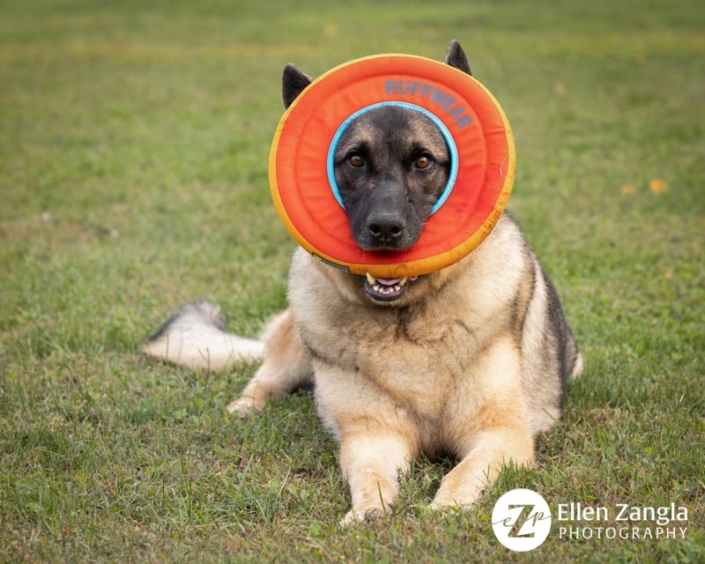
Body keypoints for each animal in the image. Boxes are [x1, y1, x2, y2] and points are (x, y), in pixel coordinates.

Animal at [144, 41, 584, 528]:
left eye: (423, 162)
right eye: (354, 160)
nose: (385, 228)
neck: (405, 324)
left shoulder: (501, 436)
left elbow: (462, 473)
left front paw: (443, 509)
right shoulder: (373, 435)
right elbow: (369, 474)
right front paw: (368, 512)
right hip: (296, 341)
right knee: (266, 376)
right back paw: (244, 406)